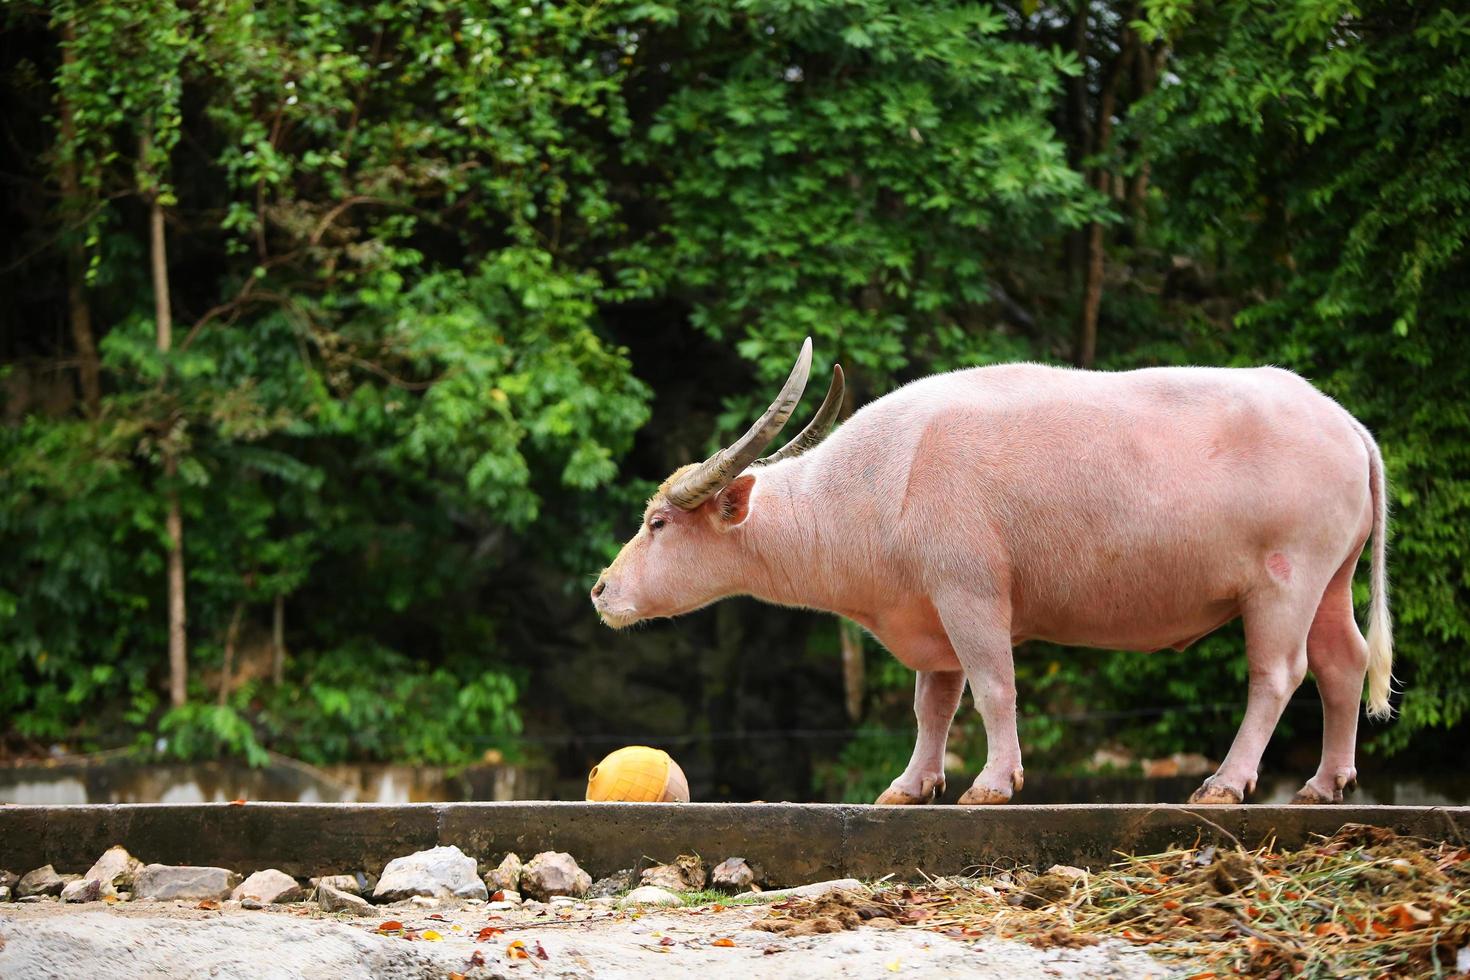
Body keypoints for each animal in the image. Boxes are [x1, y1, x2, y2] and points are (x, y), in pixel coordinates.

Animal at [588, 340, 1387, 811]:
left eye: (657, 523)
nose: (601, 590)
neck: (886, 479)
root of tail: (1344, 422)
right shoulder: (927, 613)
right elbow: (932, 705)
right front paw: (911, 785)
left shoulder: (970, 595)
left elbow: (993, 688)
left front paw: (992, 784)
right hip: (1331, 579)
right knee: (1342, 663)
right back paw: (1326, 783)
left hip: (1284, 580)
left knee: (1277, 674)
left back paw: (1225, 783)